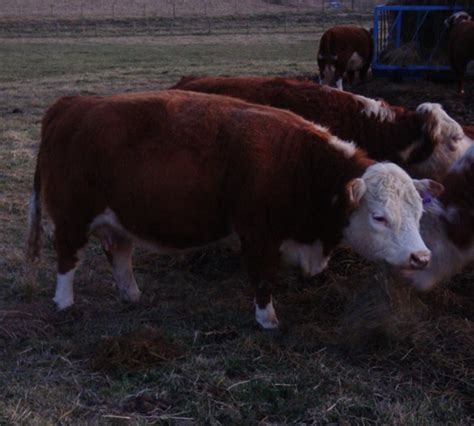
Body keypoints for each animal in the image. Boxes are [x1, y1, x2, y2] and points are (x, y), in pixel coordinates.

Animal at [27, 90, 438, 330]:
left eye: (419, 215)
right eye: (380, 217)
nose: (421, 257)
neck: (303, 165)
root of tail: (72, 104)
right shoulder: (258, 236)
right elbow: (263, 279)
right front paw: (267, 320)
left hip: (119, 219)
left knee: (120, 254)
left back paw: (132, 295)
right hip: (72, 216)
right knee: (67, 257)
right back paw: (64, 303)